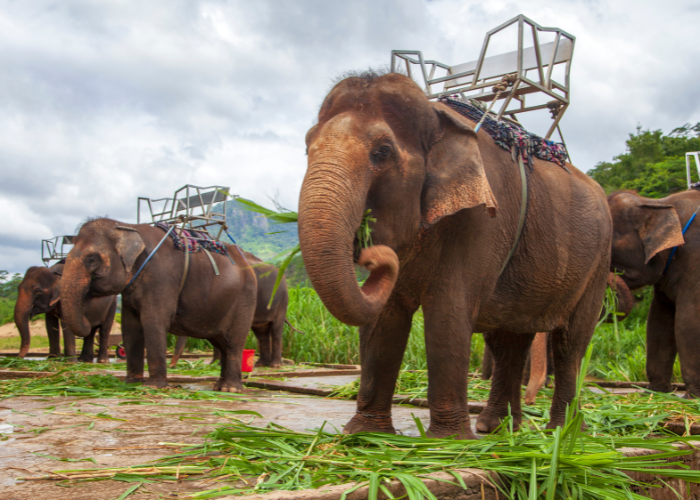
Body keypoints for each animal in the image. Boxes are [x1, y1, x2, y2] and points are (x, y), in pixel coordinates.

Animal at [60, 218, 257, 392]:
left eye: (92, 259)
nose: (88, 320)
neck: (128, 226)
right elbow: (130, 327)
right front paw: (131, 383)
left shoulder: (161, 277)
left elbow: (153, 321)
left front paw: (154, 387)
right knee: (221, 342)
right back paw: (219, 387)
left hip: (244, 299)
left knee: (233, 342)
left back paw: (230, 389)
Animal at [170, 251, 298, 368]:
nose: (172, 366)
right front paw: (215, 364)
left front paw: (218, 364)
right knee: (261, 332)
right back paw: (261, 364)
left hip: (282, 300)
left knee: (276, 329)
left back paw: (275, 365)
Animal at [298, 71, 612, 438]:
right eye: (307, 147)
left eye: (382, 151)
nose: (371, 253)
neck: (438, 119)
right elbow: (384, 318)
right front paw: (366, 435)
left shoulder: (483, 219)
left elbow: (447, 311)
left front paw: (447, 442)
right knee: (509, 340)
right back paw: (499, 429)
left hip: (598, 264)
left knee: (570, 343)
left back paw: (563, 433)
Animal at [608, 189, 700, 396]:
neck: (660, 203)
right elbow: (659, 321)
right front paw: (656, 391)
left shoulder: (695, 260)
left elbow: (688, 320)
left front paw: (692, 396)